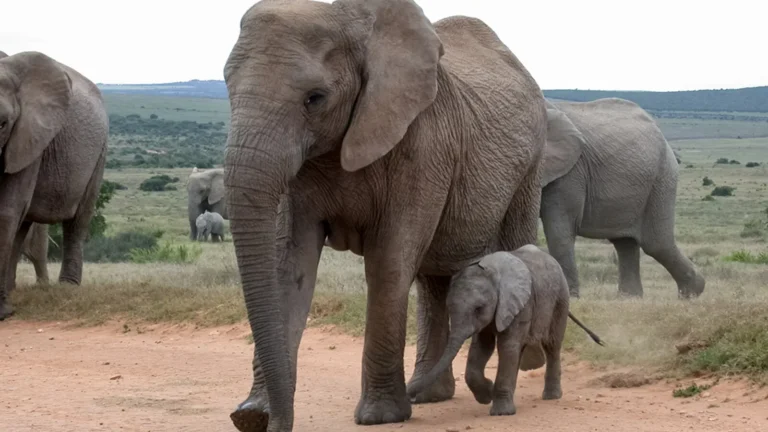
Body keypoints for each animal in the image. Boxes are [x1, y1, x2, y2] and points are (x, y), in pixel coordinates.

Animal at [0, 51, 109, 320]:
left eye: (3, 124)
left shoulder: (29, 138)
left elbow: (6, 210)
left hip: (99, 154)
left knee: (77, 223)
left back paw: (67, 287)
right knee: (23, 224)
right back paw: (12, 291)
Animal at [221, 0, 547, 430]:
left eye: (315, 98)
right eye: (227, 86)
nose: (268, 420)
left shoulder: (424, 144)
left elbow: (389, 263)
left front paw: (381, 416)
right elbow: (289, 266)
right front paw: (252, 413)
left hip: (529, 167)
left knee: (513, 246)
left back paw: (526, 364)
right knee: (433, 275)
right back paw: (430, 395)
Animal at [406, 246, 602, 416]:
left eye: (478, 308)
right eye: (449, 307)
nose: (412, 398)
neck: (491, 273)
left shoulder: (519, 304)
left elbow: (507, 346)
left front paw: (501, 412)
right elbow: (482, 347)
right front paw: (487, 395)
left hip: (560, 299)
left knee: (551, 345)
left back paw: (551, 397)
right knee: (520, 351)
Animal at [540, 97, 705, 298]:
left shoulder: (571, 171)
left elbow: (560, 230)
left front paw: (570, 298)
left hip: (663, 176)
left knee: (657, 244)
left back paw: (692, 293)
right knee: (626, 243)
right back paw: (630, 298)